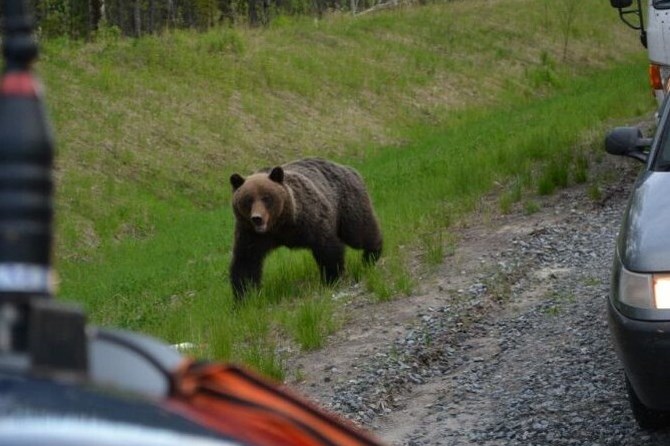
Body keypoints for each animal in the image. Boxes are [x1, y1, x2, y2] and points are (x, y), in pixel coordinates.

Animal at [229, 157, 383, 300]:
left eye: (266, 198)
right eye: (248, 199)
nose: (257, 218)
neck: (280, 225)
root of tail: (347, 168)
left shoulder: (309, 219)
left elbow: (327, 247)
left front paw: (331, 278)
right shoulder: (251, 234)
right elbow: (246, 263)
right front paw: (245, 297)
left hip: (347, 203)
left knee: (359, 232)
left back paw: (372, 255)